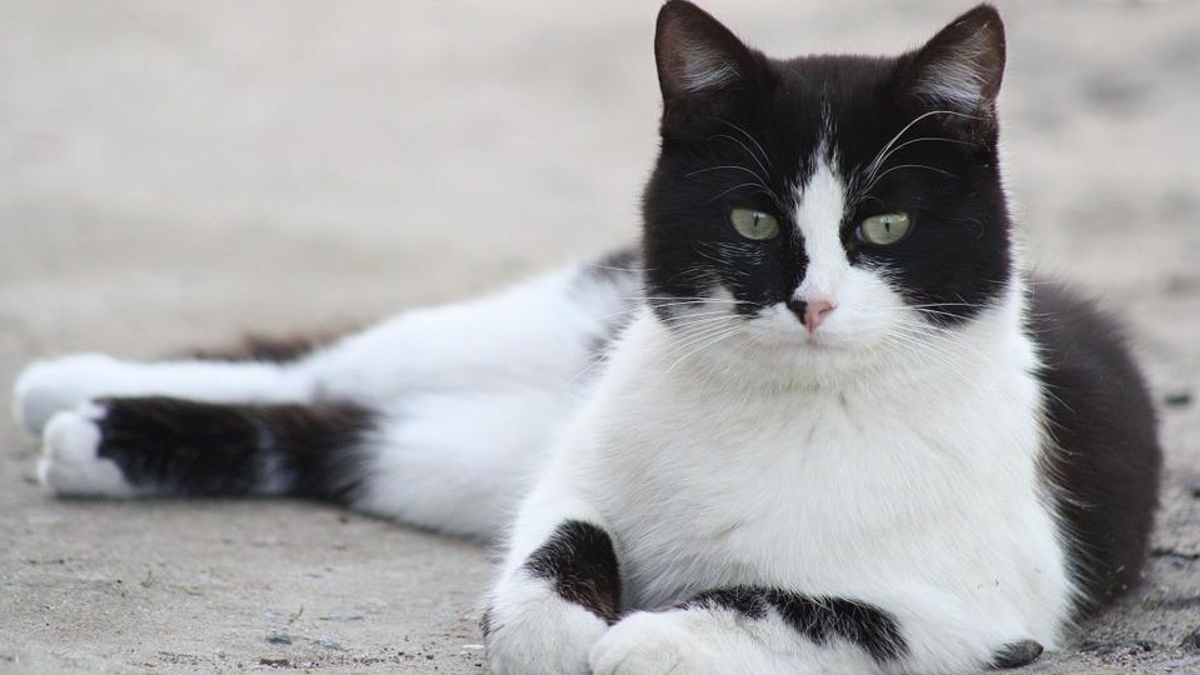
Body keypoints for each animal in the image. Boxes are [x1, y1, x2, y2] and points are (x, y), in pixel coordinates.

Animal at [14, 1, 1161, 672]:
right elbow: (558, 539)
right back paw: (63, 384)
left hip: (452, 454)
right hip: (531, 341)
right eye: (752, 221)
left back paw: (94, 435)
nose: (813, 305)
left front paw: (654, 636)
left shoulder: (981, 603)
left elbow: (806, 605)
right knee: (321, 364)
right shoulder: (571, 475)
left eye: (885, 228)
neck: (787, 409)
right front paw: (558, 630)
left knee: (341, 429)